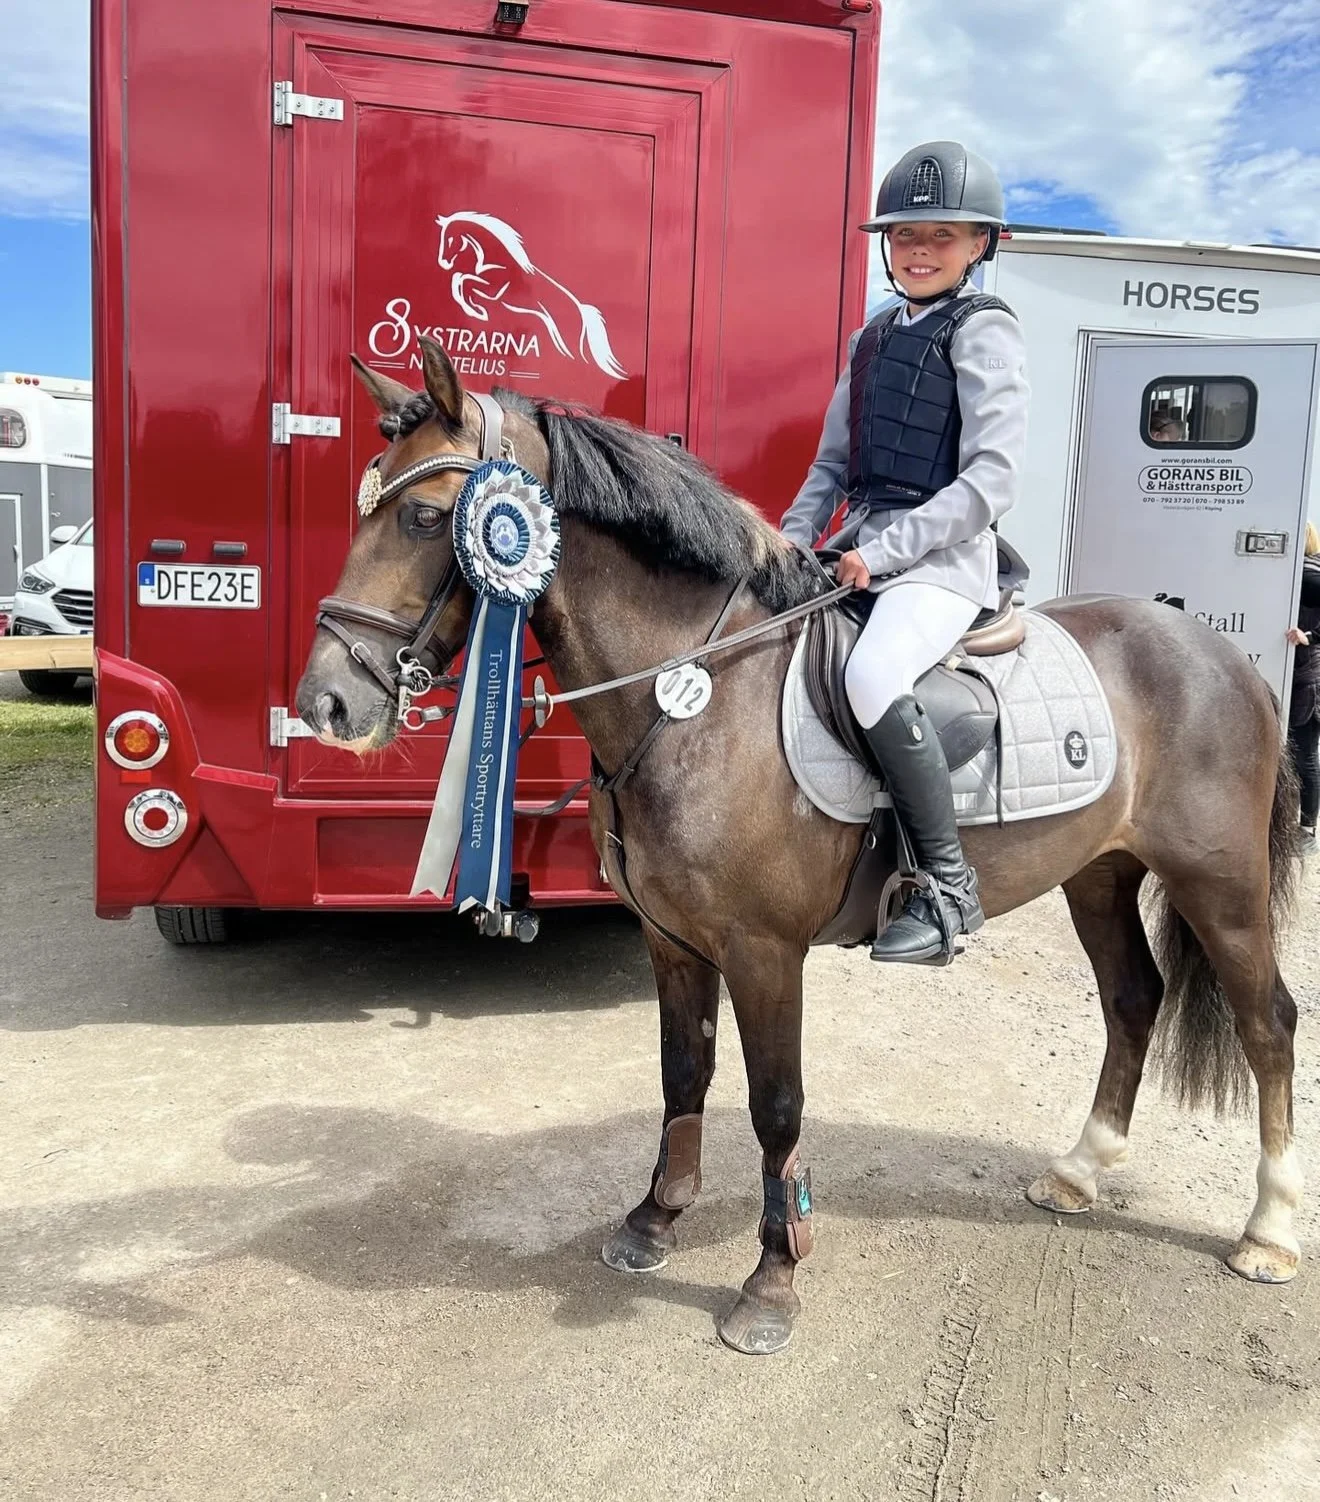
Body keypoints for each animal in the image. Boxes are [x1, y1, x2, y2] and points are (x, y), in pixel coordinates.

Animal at [296, 336, 1302, 1355]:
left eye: (426, 516)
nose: (325, 704)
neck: (694, 696)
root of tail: (1225, 655)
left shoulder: (764, 952)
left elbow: (776, 1104)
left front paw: (772, 1280)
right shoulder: (673, 941)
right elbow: (684, 1074)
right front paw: (654, 1220)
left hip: (1220, 883)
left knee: (1269, 1024)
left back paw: (1268, 1231)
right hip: (1099, 874)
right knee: (1133, 999)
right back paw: (1080, 1172)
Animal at [436, 212, 628, 379]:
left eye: (450, 239)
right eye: (443, 238)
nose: (443, 262)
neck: (497, 260)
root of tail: (580, 308)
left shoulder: (493, 290)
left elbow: (464, 281)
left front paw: (478, 310)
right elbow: (459, 278)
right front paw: (475, 309)